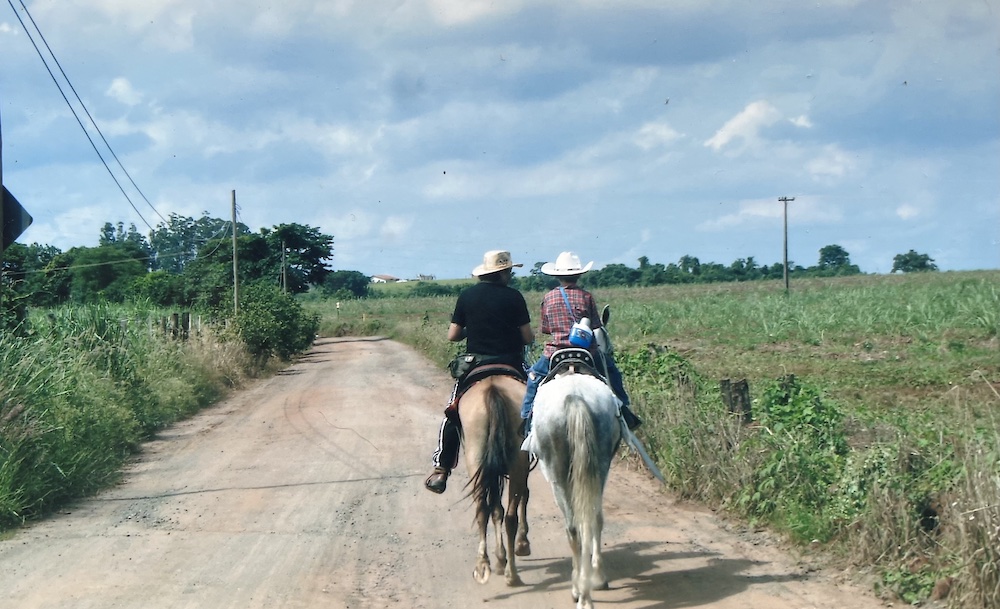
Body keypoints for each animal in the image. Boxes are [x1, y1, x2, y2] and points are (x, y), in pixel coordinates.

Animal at [456, 370, 532, 584]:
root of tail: (493, 391)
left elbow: (497, 508)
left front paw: (502, 556)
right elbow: (507, 505)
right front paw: (519, 546)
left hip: (476, 460)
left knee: (484, 510)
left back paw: (485, 564)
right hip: (514, 464)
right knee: (508, 516)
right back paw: (510, 573)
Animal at [524, 356, 616, 608]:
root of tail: (575, 397)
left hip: (557, 473)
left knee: (573, 528)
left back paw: (580, 592)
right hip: (600, 464)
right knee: (593, 519)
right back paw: (594, 582)